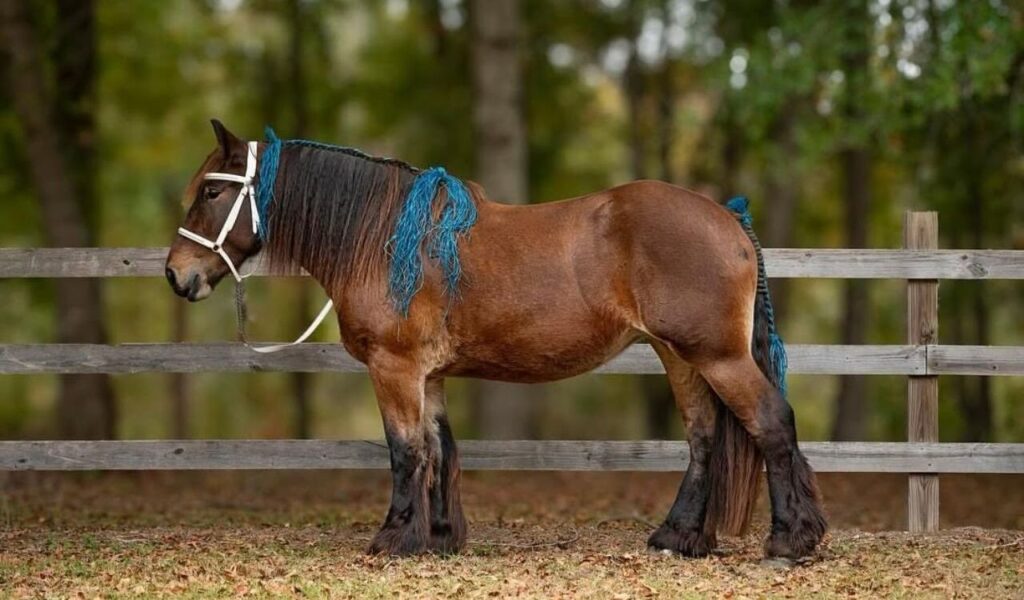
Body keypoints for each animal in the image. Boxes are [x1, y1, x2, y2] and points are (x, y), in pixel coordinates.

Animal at [165, 120, 827, 561]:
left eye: (213, 192)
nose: (177, 275)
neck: (384, 237)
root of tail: (727, 217)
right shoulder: (428, 377)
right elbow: (439, 450)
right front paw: (436, 538)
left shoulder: (394, 369)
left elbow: (405, 451)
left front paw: (393, 538)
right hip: (680, 356)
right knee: (704, 437)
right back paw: (678, 537)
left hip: (717, 356)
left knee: (772, 423)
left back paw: (789, 541)